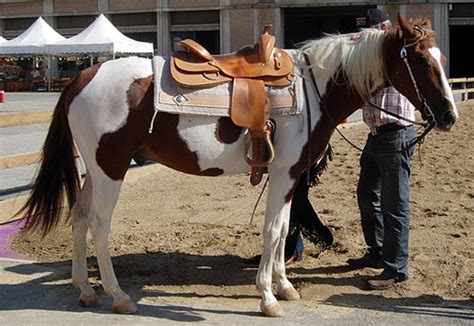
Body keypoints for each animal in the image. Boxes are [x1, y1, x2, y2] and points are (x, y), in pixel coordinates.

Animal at [18, 14, 456, 318]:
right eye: (420, 60)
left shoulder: (290, 177)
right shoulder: (283, 173)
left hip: (95, 170)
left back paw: (85, 290)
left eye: (441, 57)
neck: (312, 87)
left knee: (78, 218)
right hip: (110, 169)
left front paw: (284, 286)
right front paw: (267, 297)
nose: (449, 116)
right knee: (98, 225)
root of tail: (82, 77)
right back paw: (119, 295)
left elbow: (285, 228)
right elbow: (274, 230)